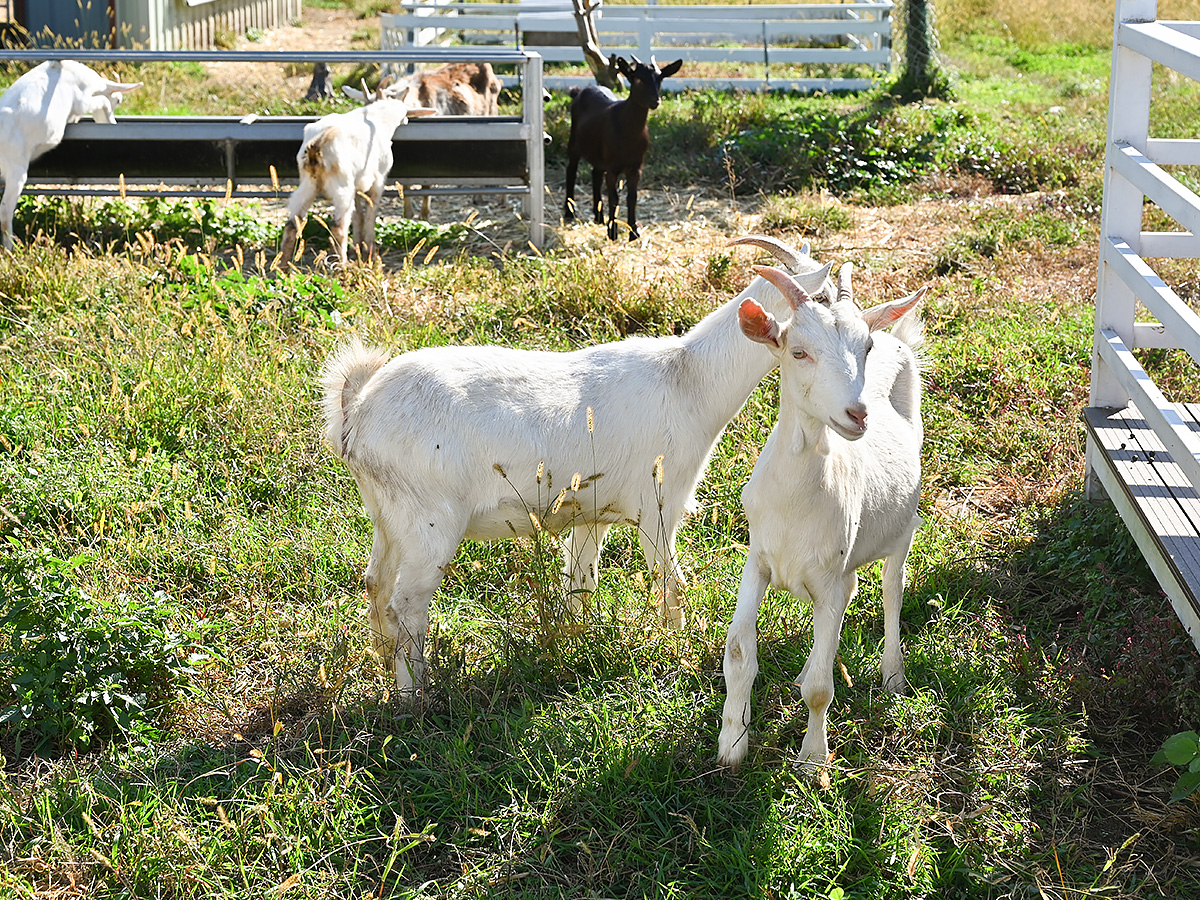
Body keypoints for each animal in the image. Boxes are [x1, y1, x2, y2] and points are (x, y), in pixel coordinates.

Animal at [0, 60, 141, 250]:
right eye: (118, 100)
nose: (112, 124)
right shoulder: (83, 101)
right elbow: (101, 100)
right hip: (16, 169)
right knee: (5, 211)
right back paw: (10, 249)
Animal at [277, 90, 436, 271]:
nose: (407, 120)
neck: (379, 118)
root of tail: (317, 144)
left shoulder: (357, 187)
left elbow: (358, 215)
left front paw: (358, 247)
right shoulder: (378, 181)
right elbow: (370, 214)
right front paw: (369, 250)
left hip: (307, 185)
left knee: (292, 224)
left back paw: (283, 268)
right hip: (341, 186)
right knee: (338, 226)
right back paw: (342, 266)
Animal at [324, 232, 849, 691]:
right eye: (821, 301)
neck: (689, 379)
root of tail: (358, 408)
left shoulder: (592, 511)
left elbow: (580, 584)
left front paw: (575, 647)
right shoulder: (657, 507)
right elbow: (671, 584)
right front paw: (680, 649)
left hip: (390, 517)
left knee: (376, 585)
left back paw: (381, 662)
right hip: (430, 521)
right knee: (407, 604)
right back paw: (414, 696)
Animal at [559, 55, 681, 241]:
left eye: (660, 78)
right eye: (638, 79)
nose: (655, 101)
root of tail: (582, 90)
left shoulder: (636, 167)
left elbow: (632, 198)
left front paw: (634, 233)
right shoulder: (613, 167)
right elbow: (614, 198)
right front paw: (612, 232)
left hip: (599, 154)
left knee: (595, 173)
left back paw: (598, 216)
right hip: (574, 142)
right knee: (571, 170)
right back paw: (569, 213)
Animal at [710, 259, 926, 768]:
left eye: (864, 347)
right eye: (799, 352)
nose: (858, 414)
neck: (796, 502)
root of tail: (899, 341)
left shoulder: (833, 578)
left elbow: (821, 691)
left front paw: (813, 758)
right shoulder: (759, 560)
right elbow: (738, 653)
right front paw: (731, 745)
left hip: (904, 526)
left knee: (892, 588)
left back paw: (893, 676)